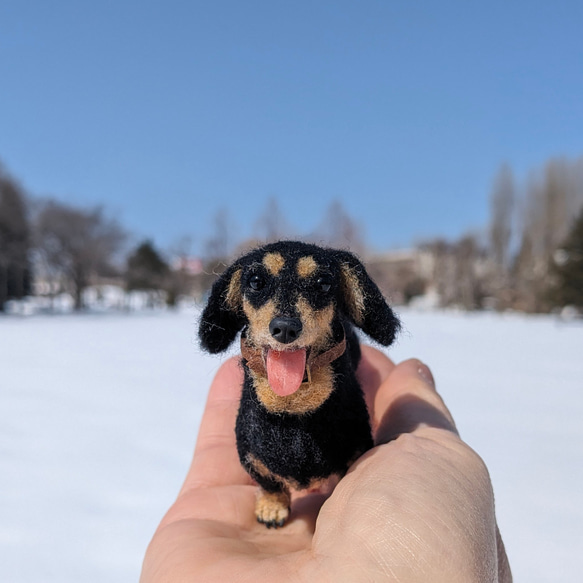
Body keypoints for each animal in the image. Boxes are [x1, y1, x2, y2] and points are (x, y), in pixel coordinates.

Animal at [198, 242, 400, 528]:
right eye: (256, 281)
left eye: (324, 283)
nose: (285, 328)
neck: (293, 406)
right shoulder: (251, 456)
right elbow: (269, 483)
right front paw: (272, 508)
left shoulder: (355, 449)